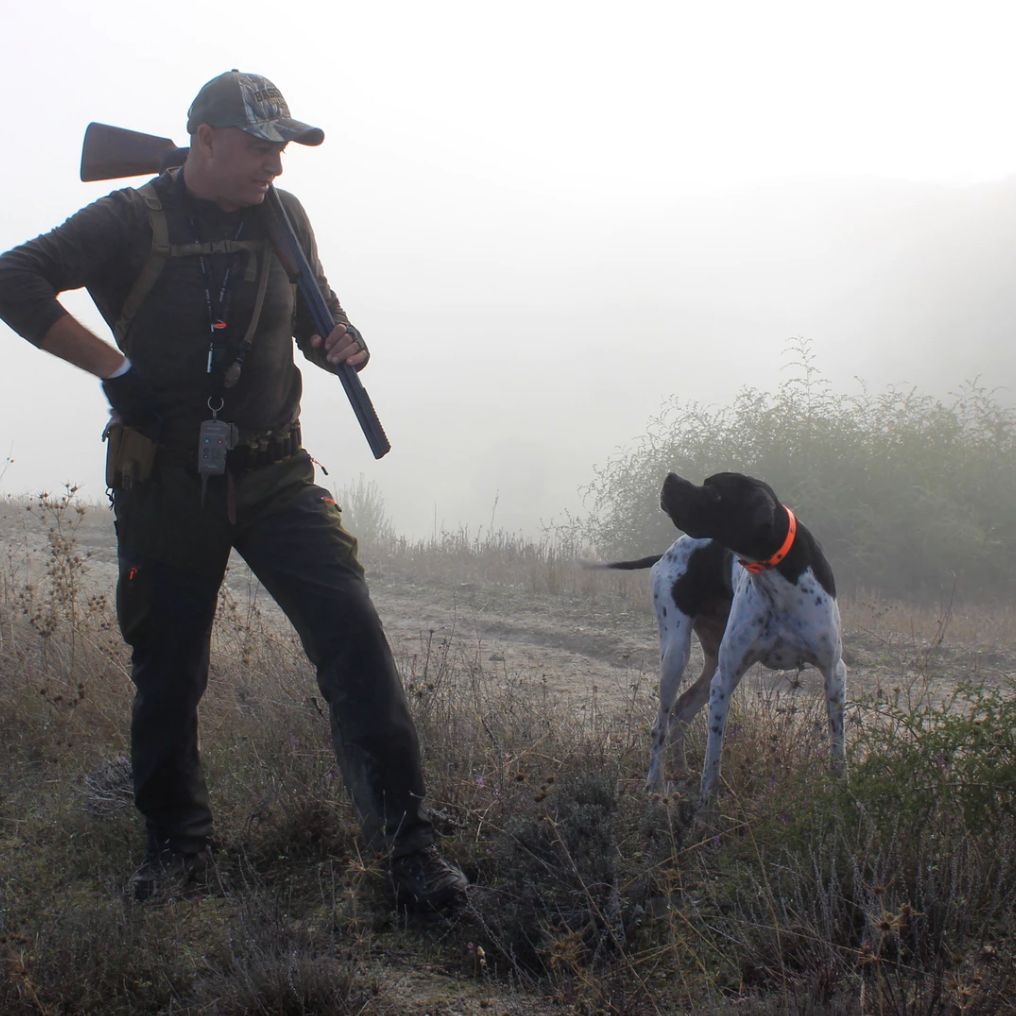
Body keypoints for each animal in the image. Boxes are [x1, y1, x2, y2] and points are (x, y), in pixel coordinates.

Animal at [593, 473, 845, 808]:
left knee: (681, 712)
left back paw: (680, 772)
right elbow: (712, 759)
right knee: (661, 724)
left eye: (714, 492)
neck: (777, 575)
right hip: (676, 655)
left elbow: (838, 751)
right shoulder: (725, 680)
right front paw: (705, 808)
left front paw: (843, 795)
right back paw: (654, 785)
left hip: (710, 662)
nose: (670, 476)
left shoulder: (834, 673)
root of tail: (667, 551)